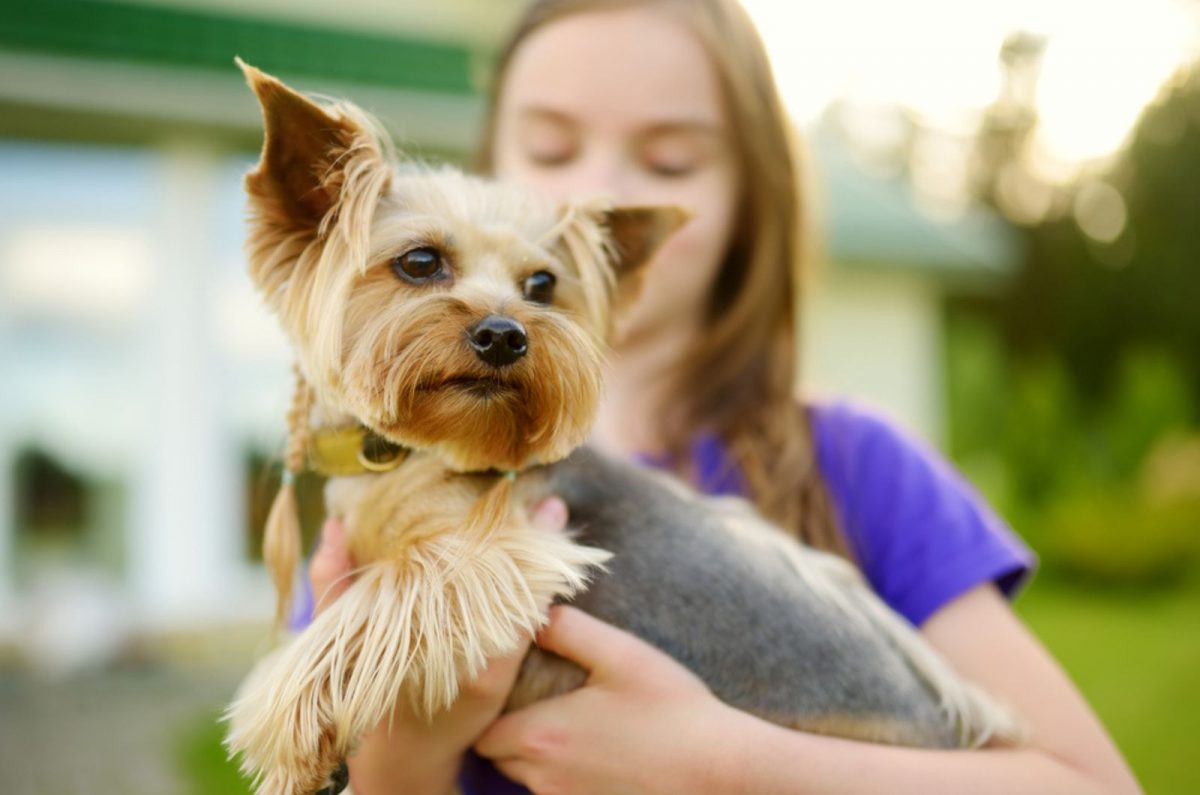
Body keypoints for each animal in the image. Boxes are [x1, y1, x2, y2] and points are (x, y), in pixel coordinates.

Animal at [225, 63, 1022, 795]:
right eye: (420, 261)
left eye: (542, 285)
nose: (506, 334)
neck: (410, 452)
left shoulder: (504, 553)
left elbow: (384, 597)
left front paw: (287, 727)